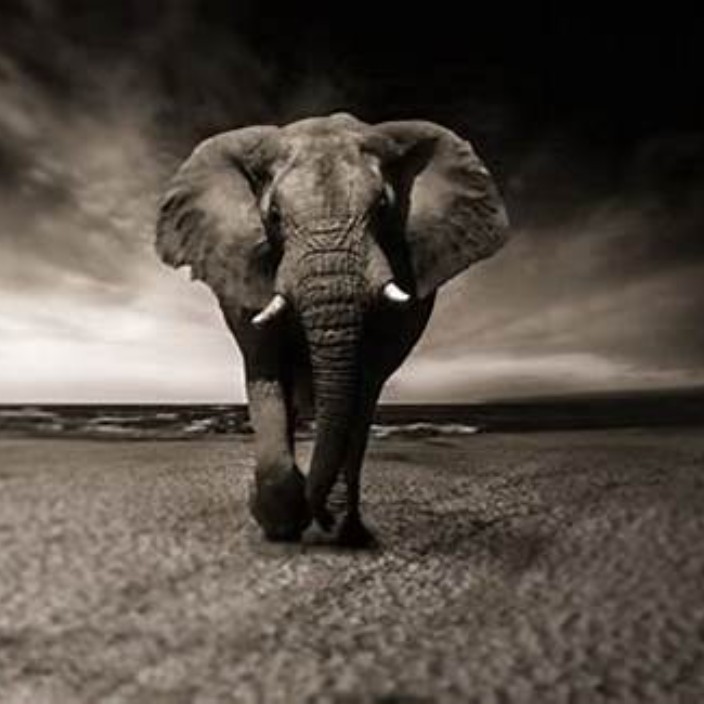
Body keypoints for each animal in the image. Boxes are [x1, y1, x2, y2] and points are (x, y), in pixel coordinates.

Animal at [155, 113, 509, 547]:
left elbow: (364, 382)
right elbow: (265, 368)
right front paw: (279, 522)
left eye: (383, 208)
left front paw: (326, 522)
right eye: (274, 216)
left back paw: (345, 530)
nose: (317, 514)